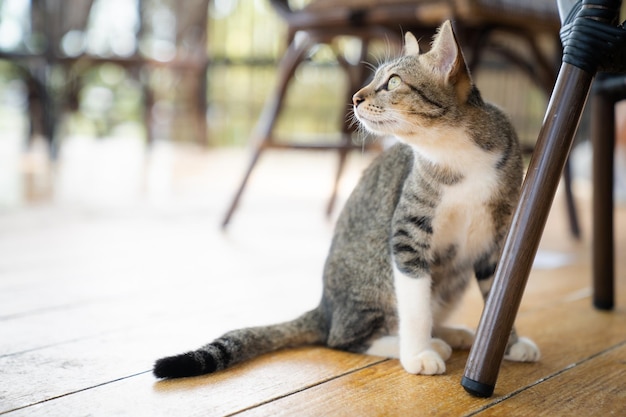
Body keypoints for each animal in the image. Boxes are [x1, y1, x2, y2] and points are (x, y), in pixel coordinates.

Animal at [152, 20, 536, 380]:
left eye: (392, 82)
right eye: (374, 79)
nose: (355, 97)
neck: (456, 155)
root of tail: (324, 308)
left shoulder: (497, 236)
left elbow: (499, 295)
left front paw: (509, 343)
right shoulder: (407, 232)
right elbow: (414, 304)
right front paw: (416, 354)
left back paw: (449, 333)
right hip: (375, 279)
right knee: (342, 338)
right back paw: (420, 342)